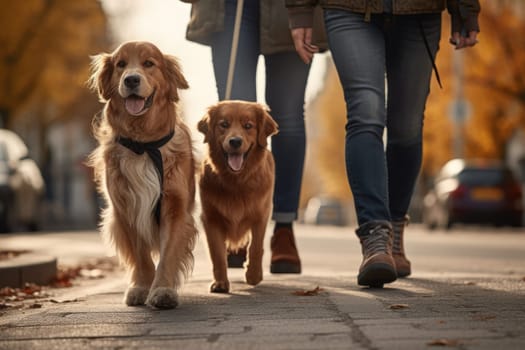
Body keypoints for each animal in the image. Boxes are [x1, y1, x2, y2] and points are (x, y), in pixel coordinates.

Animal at [87, 41, 196, 308]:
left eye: (149, 63)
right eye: (121, 64)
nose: (131, 80)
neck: (143, 144)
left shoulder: (175, 207)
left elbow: (168, 254)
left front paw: (163, 290)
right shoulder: (125, 206)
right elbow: (140, 254)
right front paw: (141, 287)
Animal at [196, 100, 278, 292]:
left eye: (248, 126)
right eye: (224, 124)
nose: (235, 141)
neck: (236, 182)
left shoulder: (261, 215)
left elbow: (256, 247)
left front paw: (254, 275)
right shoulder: (211, 219)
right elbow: (217, 254)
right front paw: (220, 283)